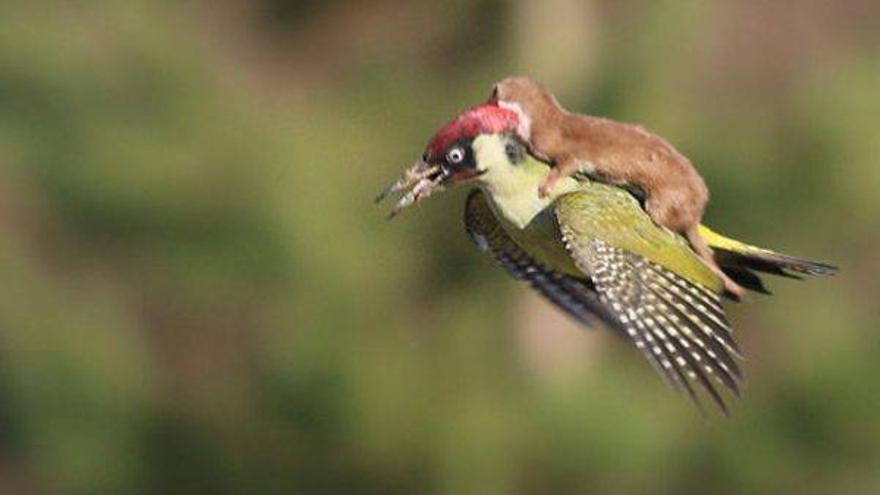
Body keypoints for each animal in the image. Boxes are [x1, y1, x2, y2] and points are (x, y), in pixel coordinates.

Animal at [488, 75, 744, 296]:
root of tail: (696, 210)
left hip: (664, 200)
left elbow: (565, 165)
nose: (486, 100)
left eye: (492, 94)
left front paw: (545, 185)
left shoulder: (566, 149)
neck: (543, 123)